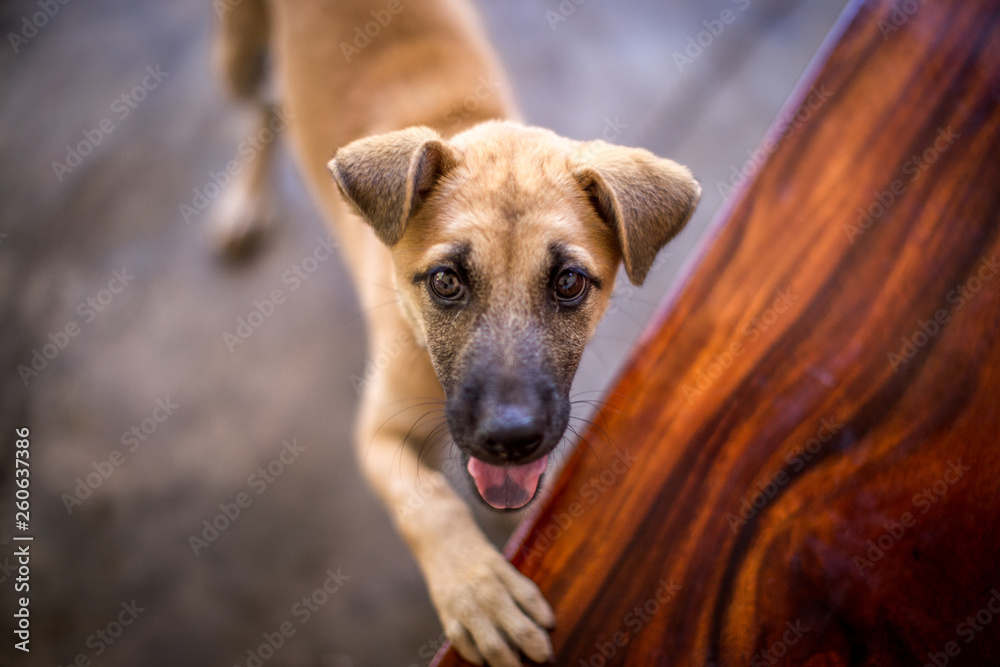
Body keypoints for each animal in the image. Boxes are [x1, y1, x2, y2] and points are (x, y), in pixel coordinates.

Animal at [213, 2, 696, 664]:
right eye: (445, 281)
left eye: (569, 283)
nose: (510, 440)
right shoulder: (380, 431)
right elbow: (429, 503)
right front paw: (478, 591)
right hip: (237, 49)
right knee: (258, 107)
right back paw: (244, 199)